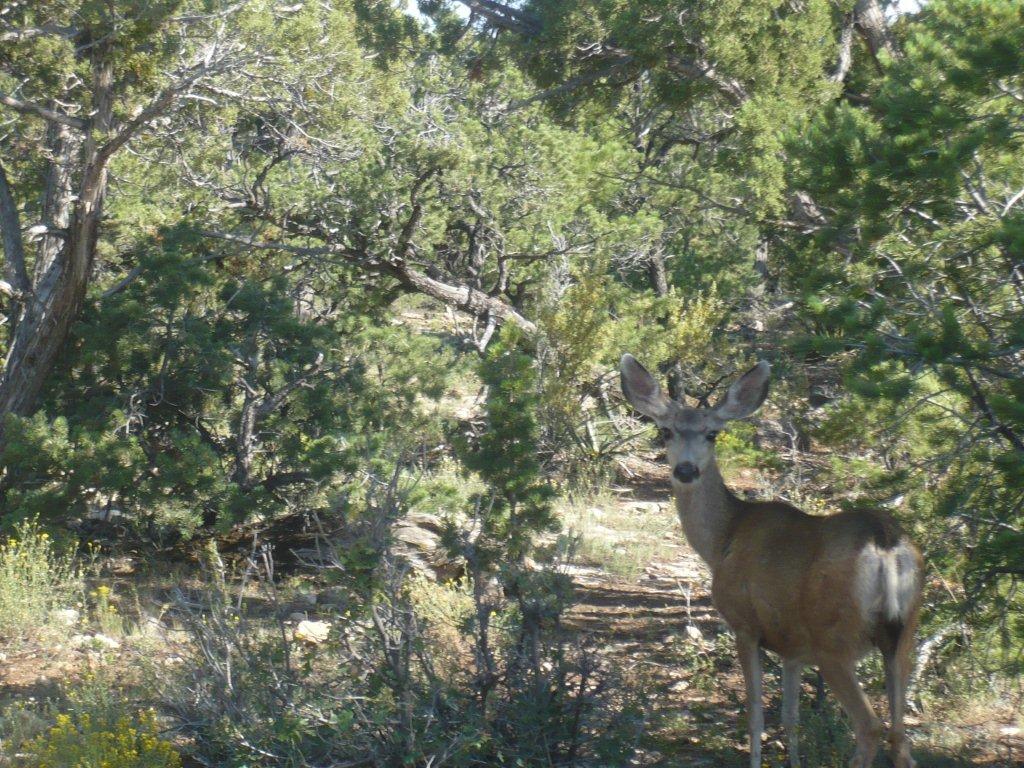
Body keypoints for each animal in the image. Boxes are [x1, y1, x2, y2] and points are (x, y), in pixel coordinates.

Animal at [618, 358, 925, 768]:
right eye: (666, 430)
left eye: (712, 434)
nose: (685, 470)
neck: (723, 539)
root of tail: (886, 542)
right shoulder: (794, 647)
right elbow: (790, 718)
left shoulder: (745, 624)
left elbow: (756, 716)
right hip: (903, 634)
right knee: (901, 735)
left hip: (834, 640)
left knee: (870, 726)